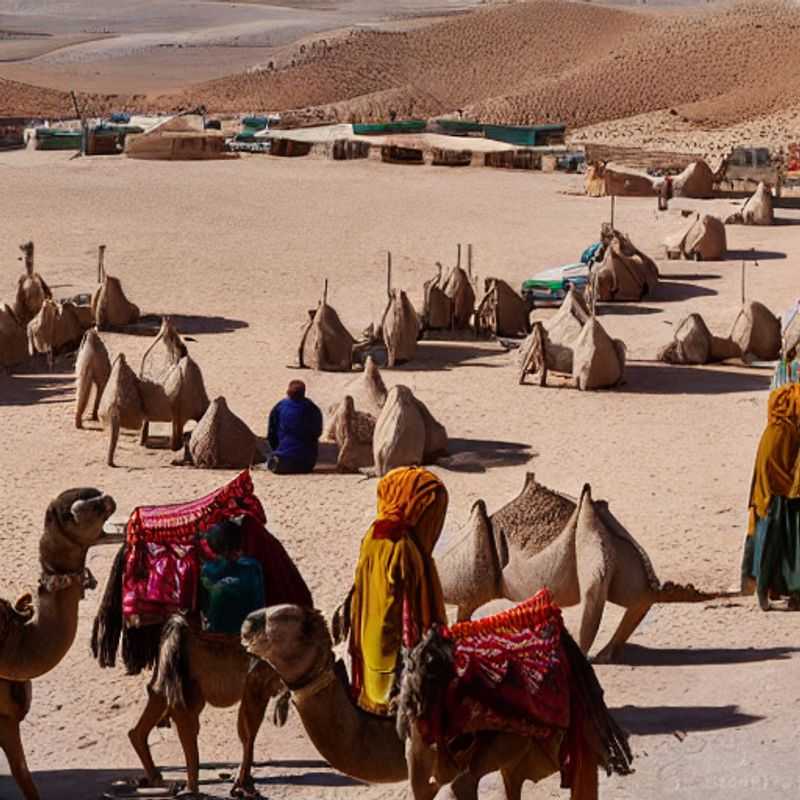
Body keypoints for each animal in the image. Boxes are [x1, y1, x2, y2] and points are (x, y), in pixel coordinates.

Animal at [435, 474, 733, 662]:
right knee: (634, 597)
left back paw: (588, 658)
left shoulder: (472, 587)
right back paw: (604, 656)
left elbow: (463, 613)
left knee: (596, 592)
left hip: (594, 541)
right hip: (617, 551)